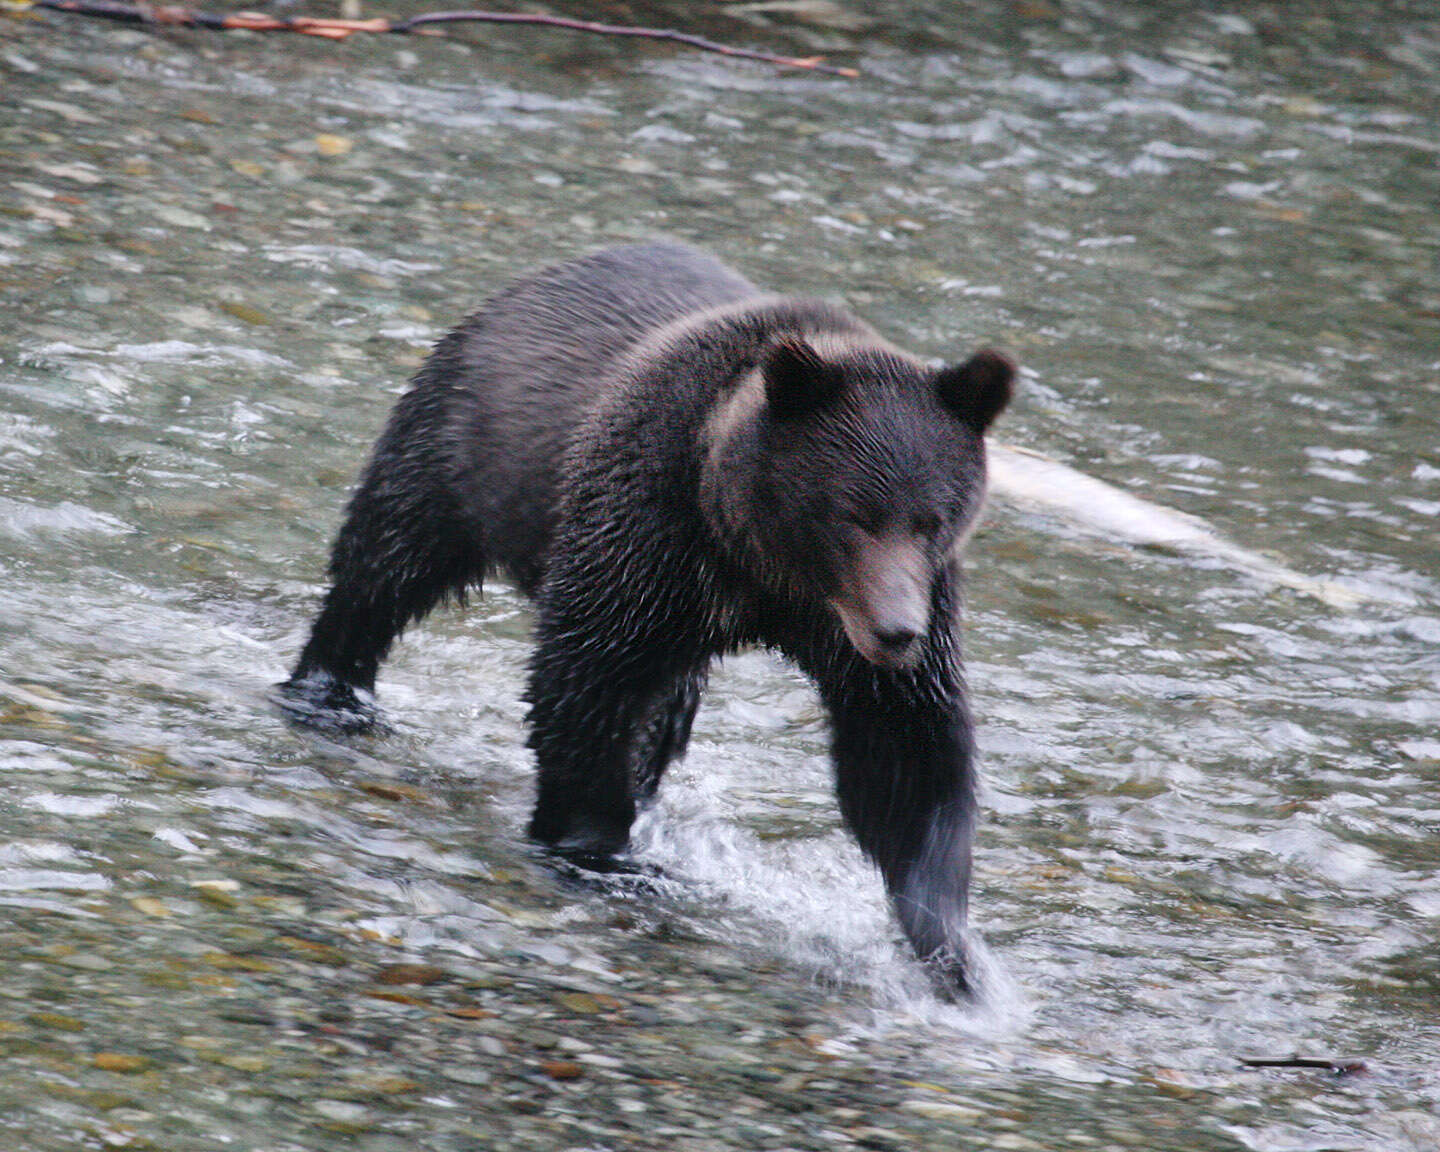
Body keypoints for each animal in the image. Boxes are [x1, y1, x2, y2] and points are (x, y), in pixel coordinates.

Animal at [277, 240, 1013, 990]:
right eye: (852, 516)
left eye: (934, 519)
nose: (897, 632)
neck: (758, 565)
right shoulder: (651, 531)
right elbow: (587, 678)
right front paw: (598, 848)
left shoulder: (867, 618)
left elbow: (906, 749)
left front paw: (952, 951)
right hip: (459, 447)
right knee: (384, 563)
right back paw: (331, 688)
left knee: (670, 702)